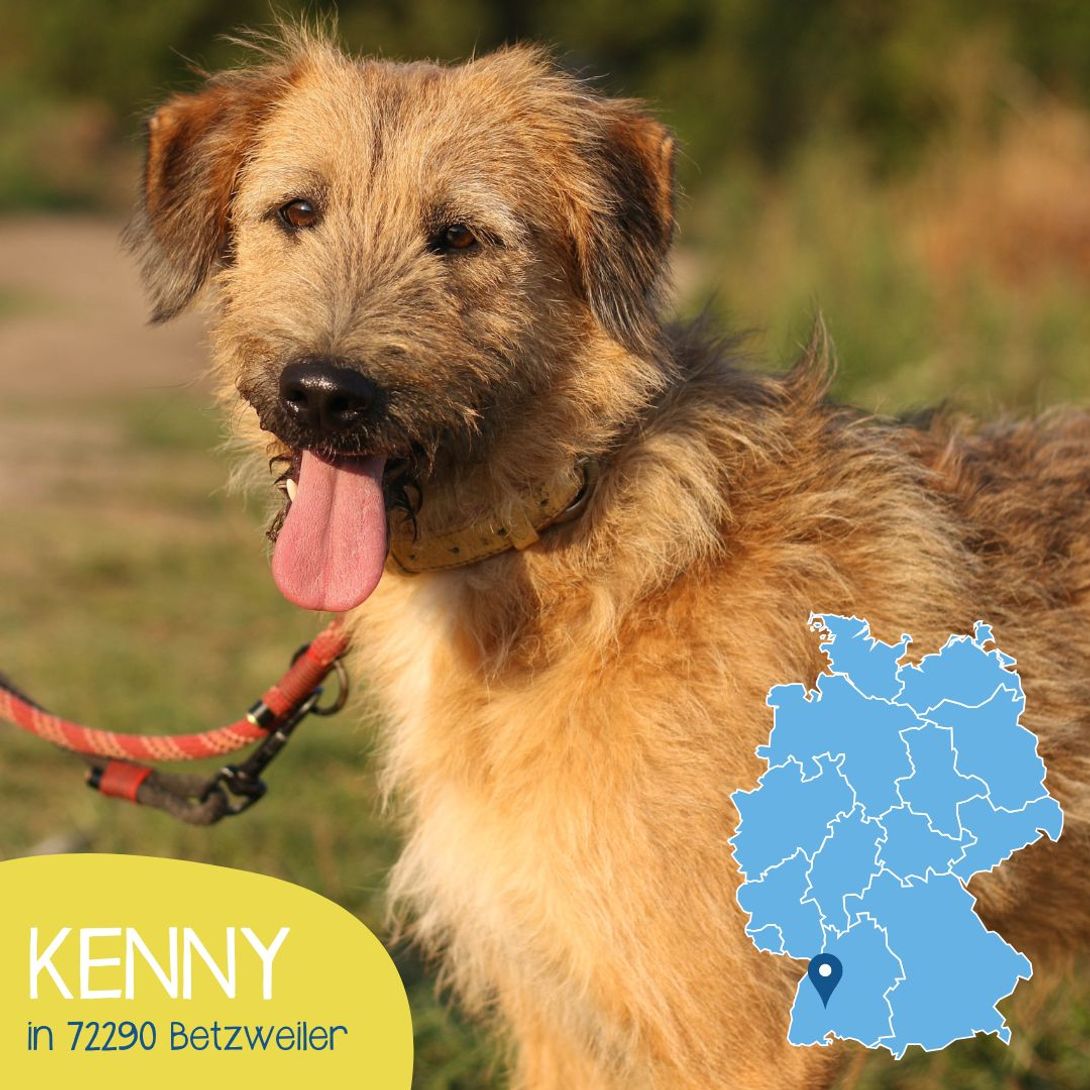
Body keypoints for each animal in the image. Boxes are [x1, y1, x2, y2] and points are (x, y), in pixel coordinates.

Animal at [126, 25, 1090, 1090]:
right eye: (297, 211)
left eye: (461, 236)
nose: (326, 394)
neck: (564, 532)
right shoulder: (562, 1012)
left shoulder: (742, 1036)